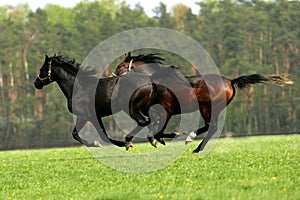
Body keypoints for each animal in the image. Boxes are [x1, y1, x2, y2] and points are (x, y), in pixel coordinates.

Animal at [112, 52, 292, 152]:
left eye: (120, 66)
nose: (112, 77)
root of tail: (230, 81)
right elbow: (152, 127)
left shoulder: (167, 111)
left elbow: (157, 129)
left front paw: (167, 137)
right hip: (210, 108)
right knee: (210, 127)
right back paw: (194, 143)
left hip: (209, 107)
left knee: (212, 127)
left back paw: (193, 144)